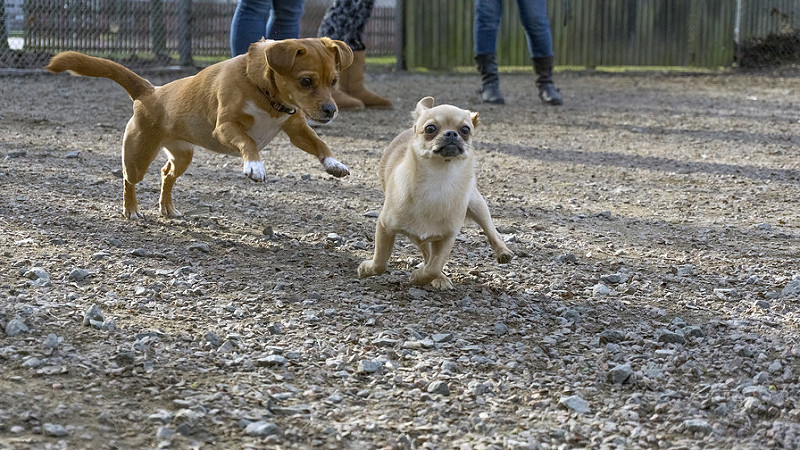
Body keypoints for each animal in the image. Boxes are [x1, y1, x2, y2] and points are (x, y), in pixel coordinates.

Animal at [46, 36, 354, 218]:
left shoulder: (296, 128)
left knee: (166, 174)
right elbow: (249, 142)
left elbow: (319, 143)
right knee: (128, 179)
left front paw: (334, 164)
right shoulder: (226, 128)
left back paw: (168, 207)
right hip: (138, 157)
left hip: (183, 155)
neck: (265, 92)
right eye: (306, 81)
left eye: (334, 80)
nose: (331, 111)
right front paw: (255, 165)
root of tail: (149, 91)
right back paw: (131, 210)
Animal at [360, 96, 516, 290]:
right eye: (430, 129)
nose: (451, 134)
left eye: (465, 130)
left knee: (491, 231)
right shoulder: (385, 227)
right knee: (427, 253)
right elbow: (380, 262)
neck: (439, 179)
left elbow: (434, 266)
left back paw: (503, 252)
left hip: (477, 205)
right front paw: (366, 269)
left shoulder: (448, 236)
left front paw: (419, 277)